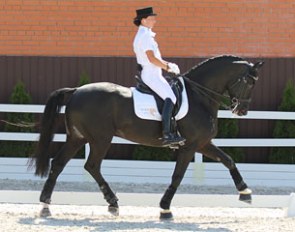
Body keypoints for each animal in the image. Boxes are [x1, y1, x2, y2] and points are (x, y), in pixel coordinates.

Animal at [29, 55, 266, 218]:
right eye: (250, 82)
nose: (242, 110)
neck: (199, 96)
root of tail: (76, 91)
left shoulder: (202, 143)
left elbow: (228, 160)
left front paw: (245, 191)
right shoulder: (189, 146)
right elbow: (177, 176)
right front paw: (165, 209)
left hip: (77, 138)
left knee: (58, 163)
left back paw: (45, 205)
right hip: (100, 139)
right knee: (92, 166)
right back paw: (112, 202)